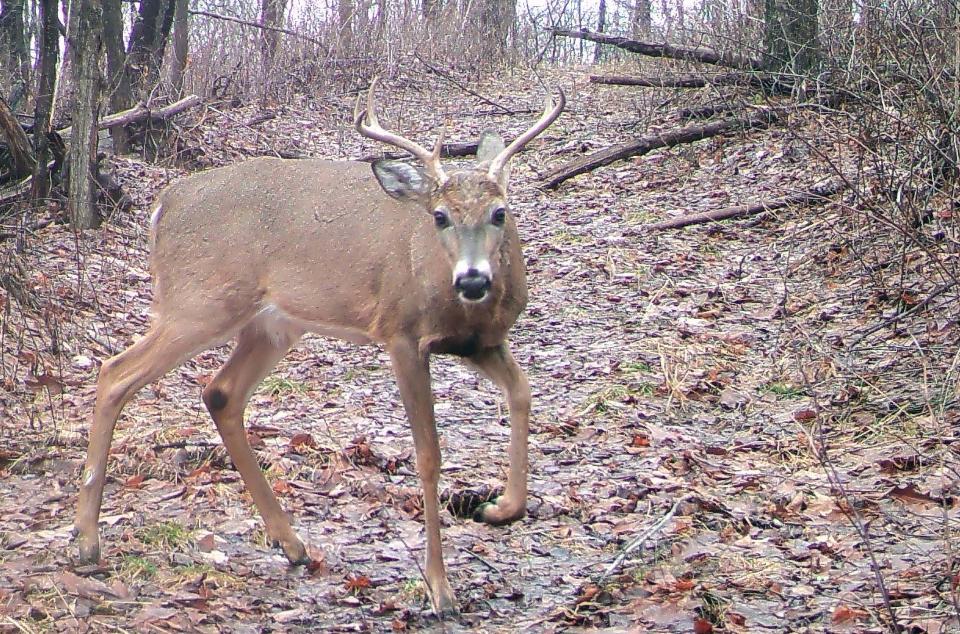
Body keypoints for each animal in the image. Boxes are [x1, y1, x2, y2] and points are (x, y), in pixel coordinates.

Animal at [77, 78, 568, 612]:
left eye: (500, 212)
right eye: (439, 216)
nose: (473, 279)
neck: (460, 304)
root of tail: (163, 203)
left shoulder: (480, 344)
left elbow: (523, 393)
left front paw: (499, 508)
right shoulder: (400, 333)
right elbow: (428, 455)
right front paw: (440, 588)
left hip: (272, 325)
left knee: (220, 393)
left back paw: (291, 543)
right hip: (200, 302)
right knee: (115, 372)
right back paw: (86, 541)